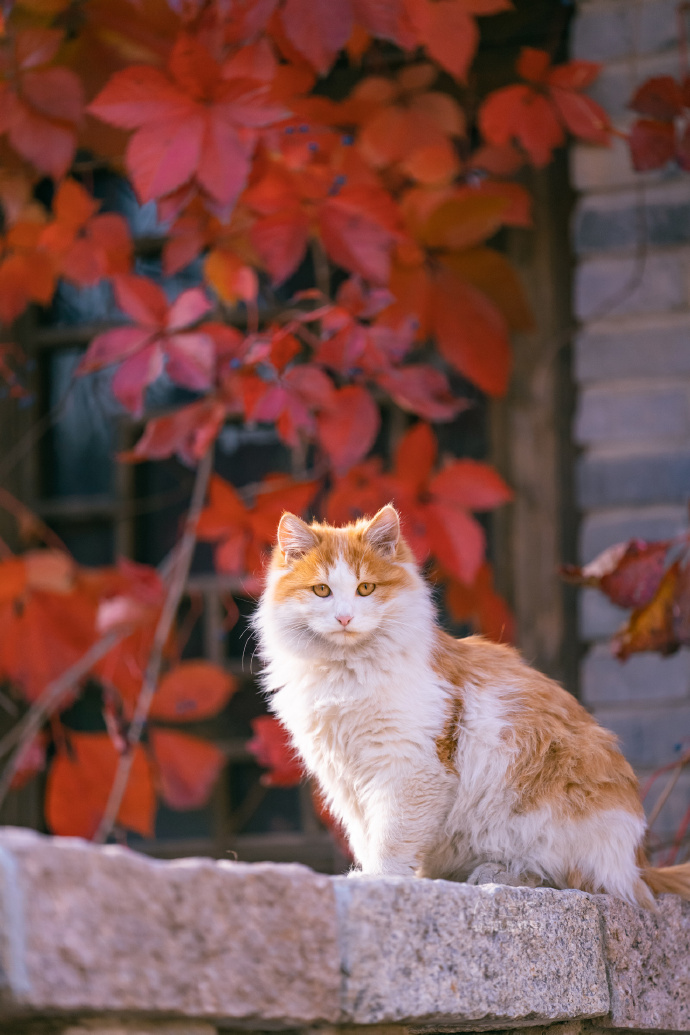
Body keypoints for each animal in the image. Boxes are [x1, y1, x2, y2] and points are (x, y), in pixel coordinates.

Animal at [255, 503, 690, 906]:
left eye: (366, 589)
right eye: (322, 591)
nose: (345, 618)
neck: (345, 674)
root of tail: (639, 864)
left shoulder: (410, 768)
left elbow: (390, 838)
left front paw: (380, 880)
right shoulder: (344, 779)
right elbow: (365, 835)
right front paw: (374, 874)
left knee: (568, 877)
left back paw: (493, 874)